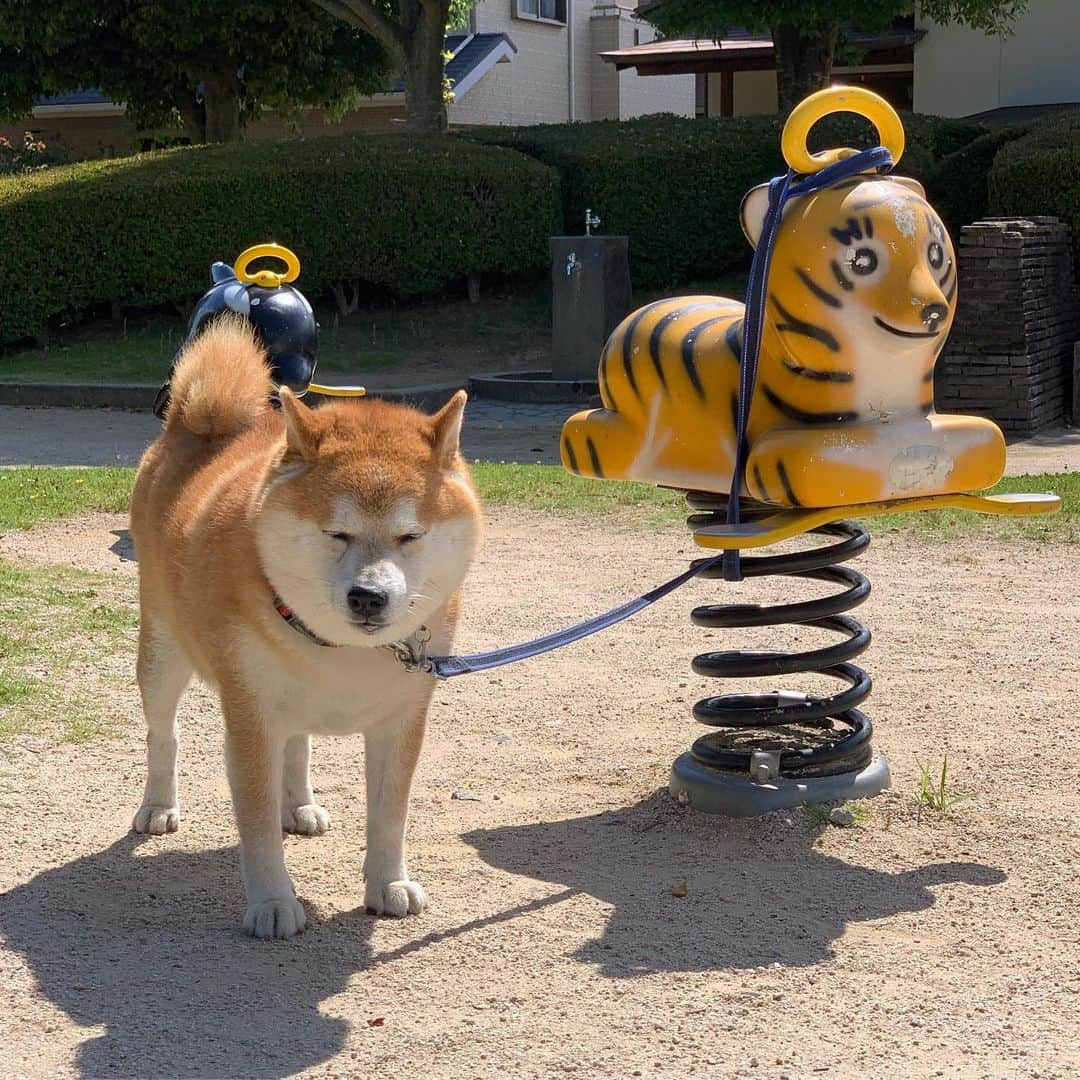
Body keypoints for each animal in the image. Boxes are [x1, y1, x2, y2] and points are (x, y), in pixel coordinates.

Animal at [129, 317, 481, 937]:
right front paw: (272, 901)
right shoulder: (250, 719)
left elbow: (390, 815)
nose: (368, 595)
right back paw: (158, 805)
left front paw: (387, 883)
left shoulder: (401, 721)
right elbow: (257, 823)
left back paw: (298, 805)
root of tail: (190, 426)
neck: (338, 647)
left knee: (298, 745)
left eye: (410, 536)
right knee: (163, 734)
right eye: (335, 533)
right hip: (163, 654)